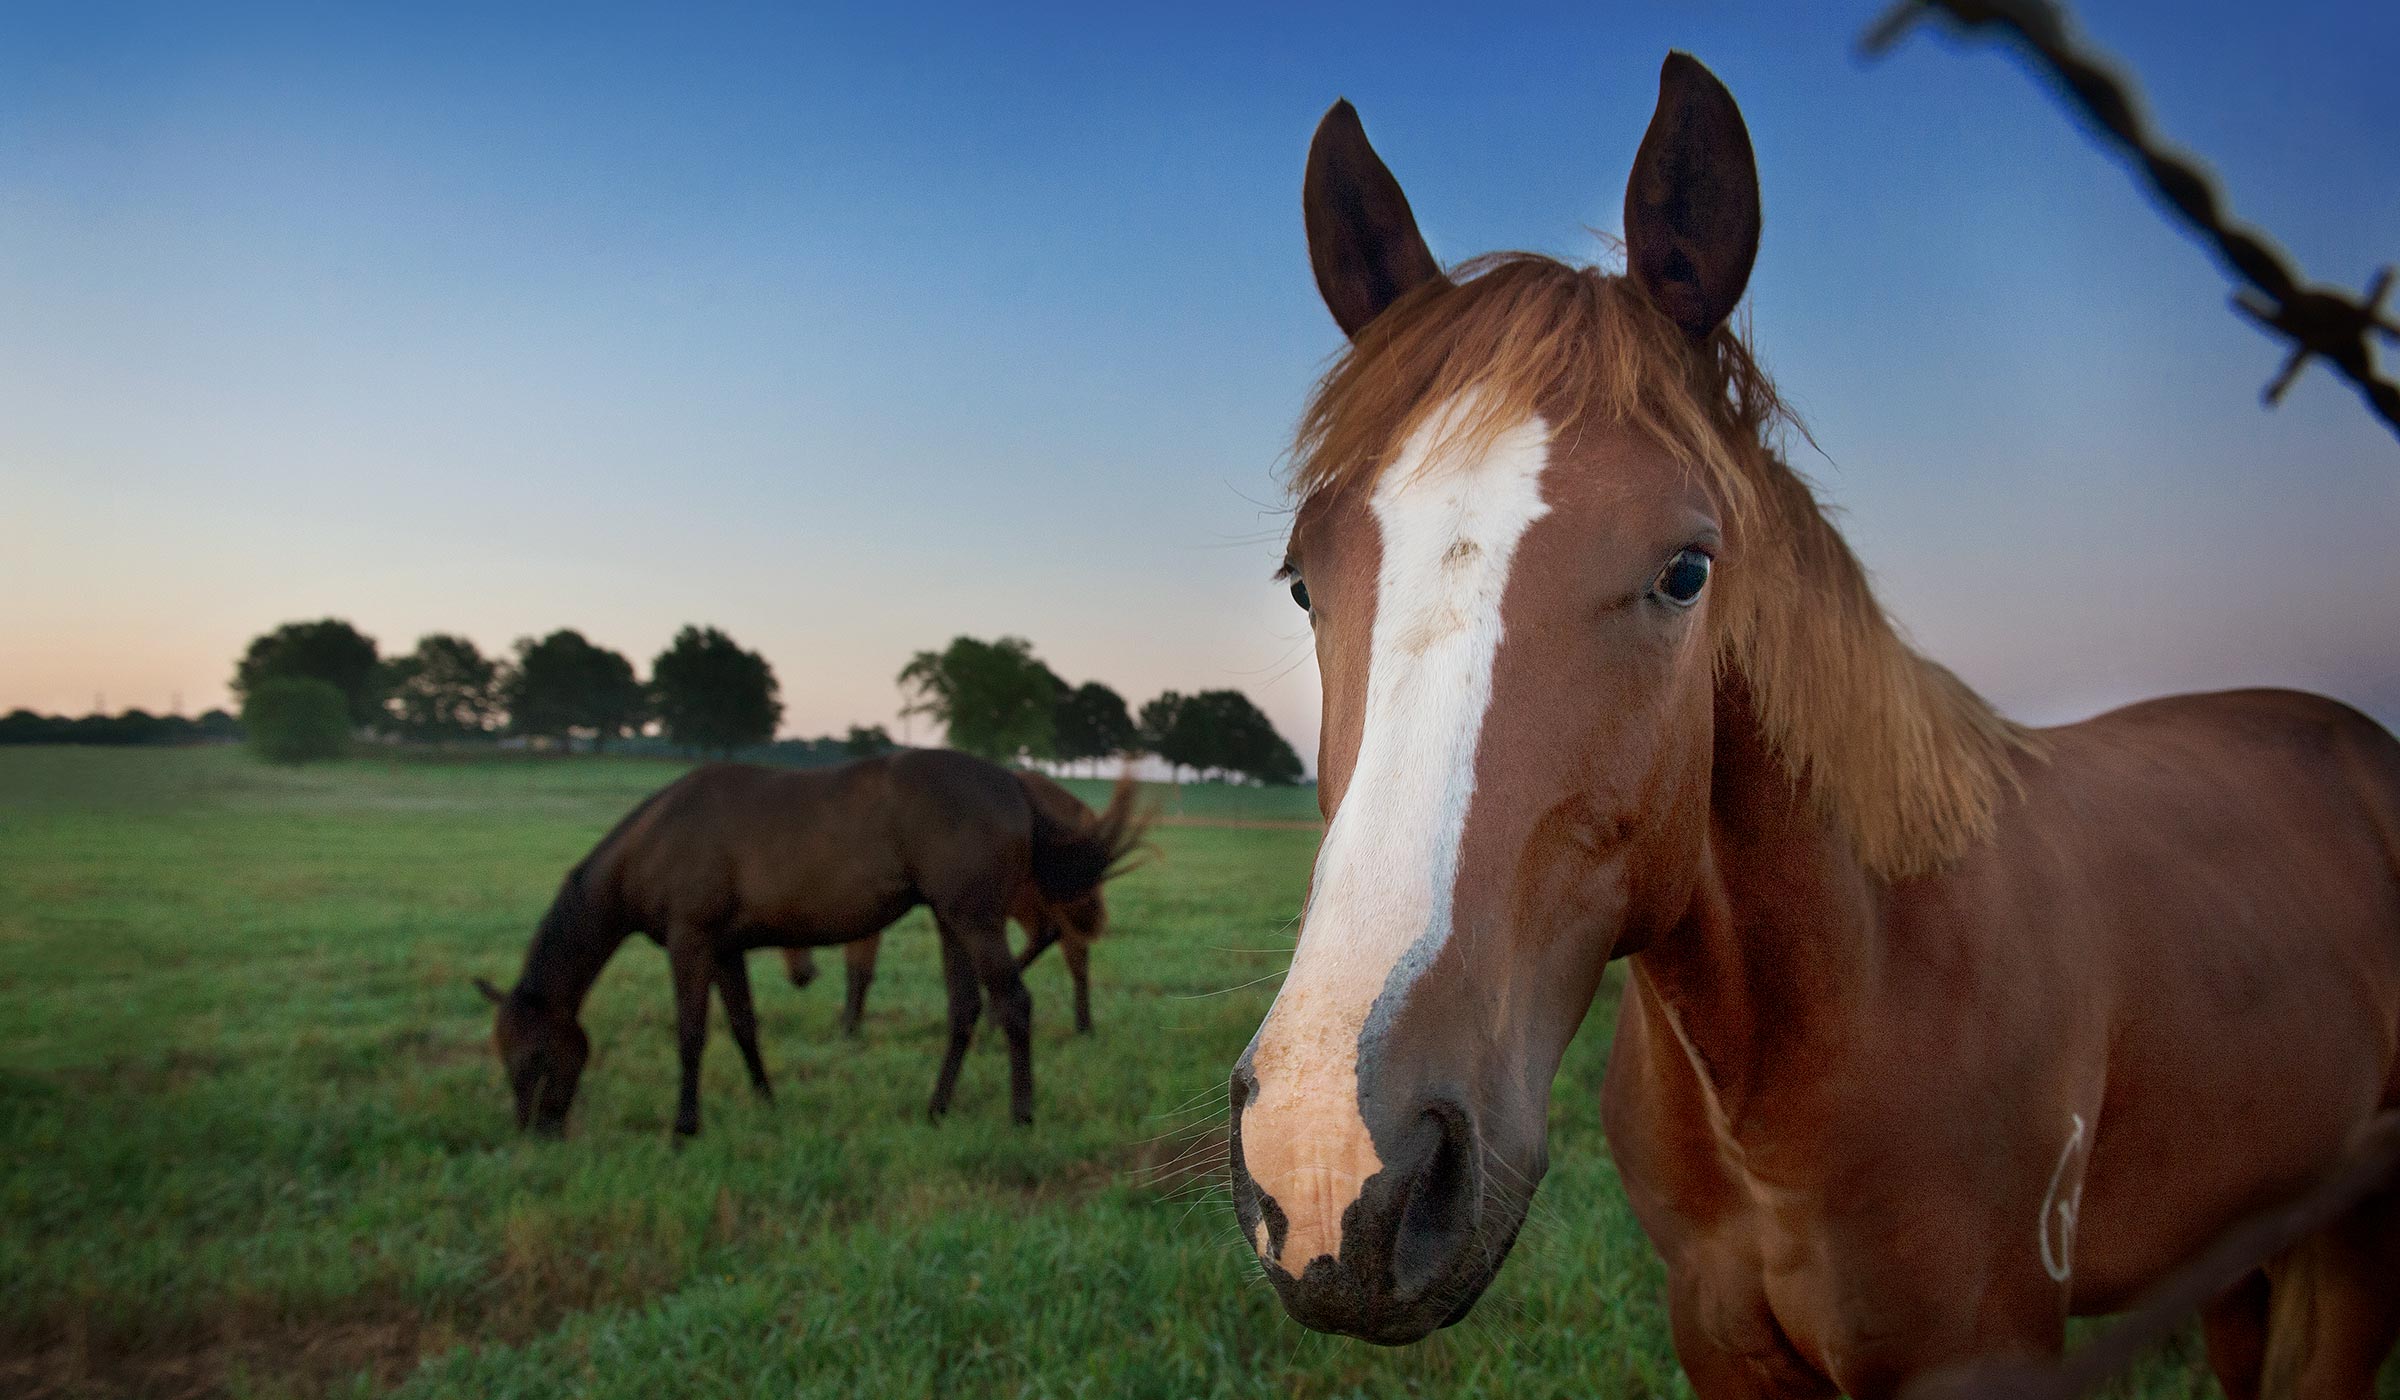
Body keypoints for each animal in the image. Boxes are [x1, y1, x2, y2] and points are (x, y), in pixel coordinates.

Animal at [482, 749, 1147, 1133]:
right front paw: (766, 1101)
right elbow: (743, 1026)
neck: (657, 837)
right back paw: (936, 1109)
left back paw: (1020, 1115)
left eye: (531, 1056)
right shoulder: (724, 949)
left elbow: (692, 1034)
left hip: (976, 920)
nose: (534, 1133)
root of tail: (1013, 781)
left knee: (1013, 1004)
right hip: (953, 920)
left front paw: (686, 1125)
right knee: (966, 1010)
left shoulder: (690, 943)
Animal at [1228, 49, 2400, 1392]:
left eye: (1688, 569)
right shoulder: (1717, 1326)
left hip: (2356, 1233)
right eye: (1304, 579)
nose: (1329, 1164)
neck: (1854, 987)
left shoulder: (1979, 1349)